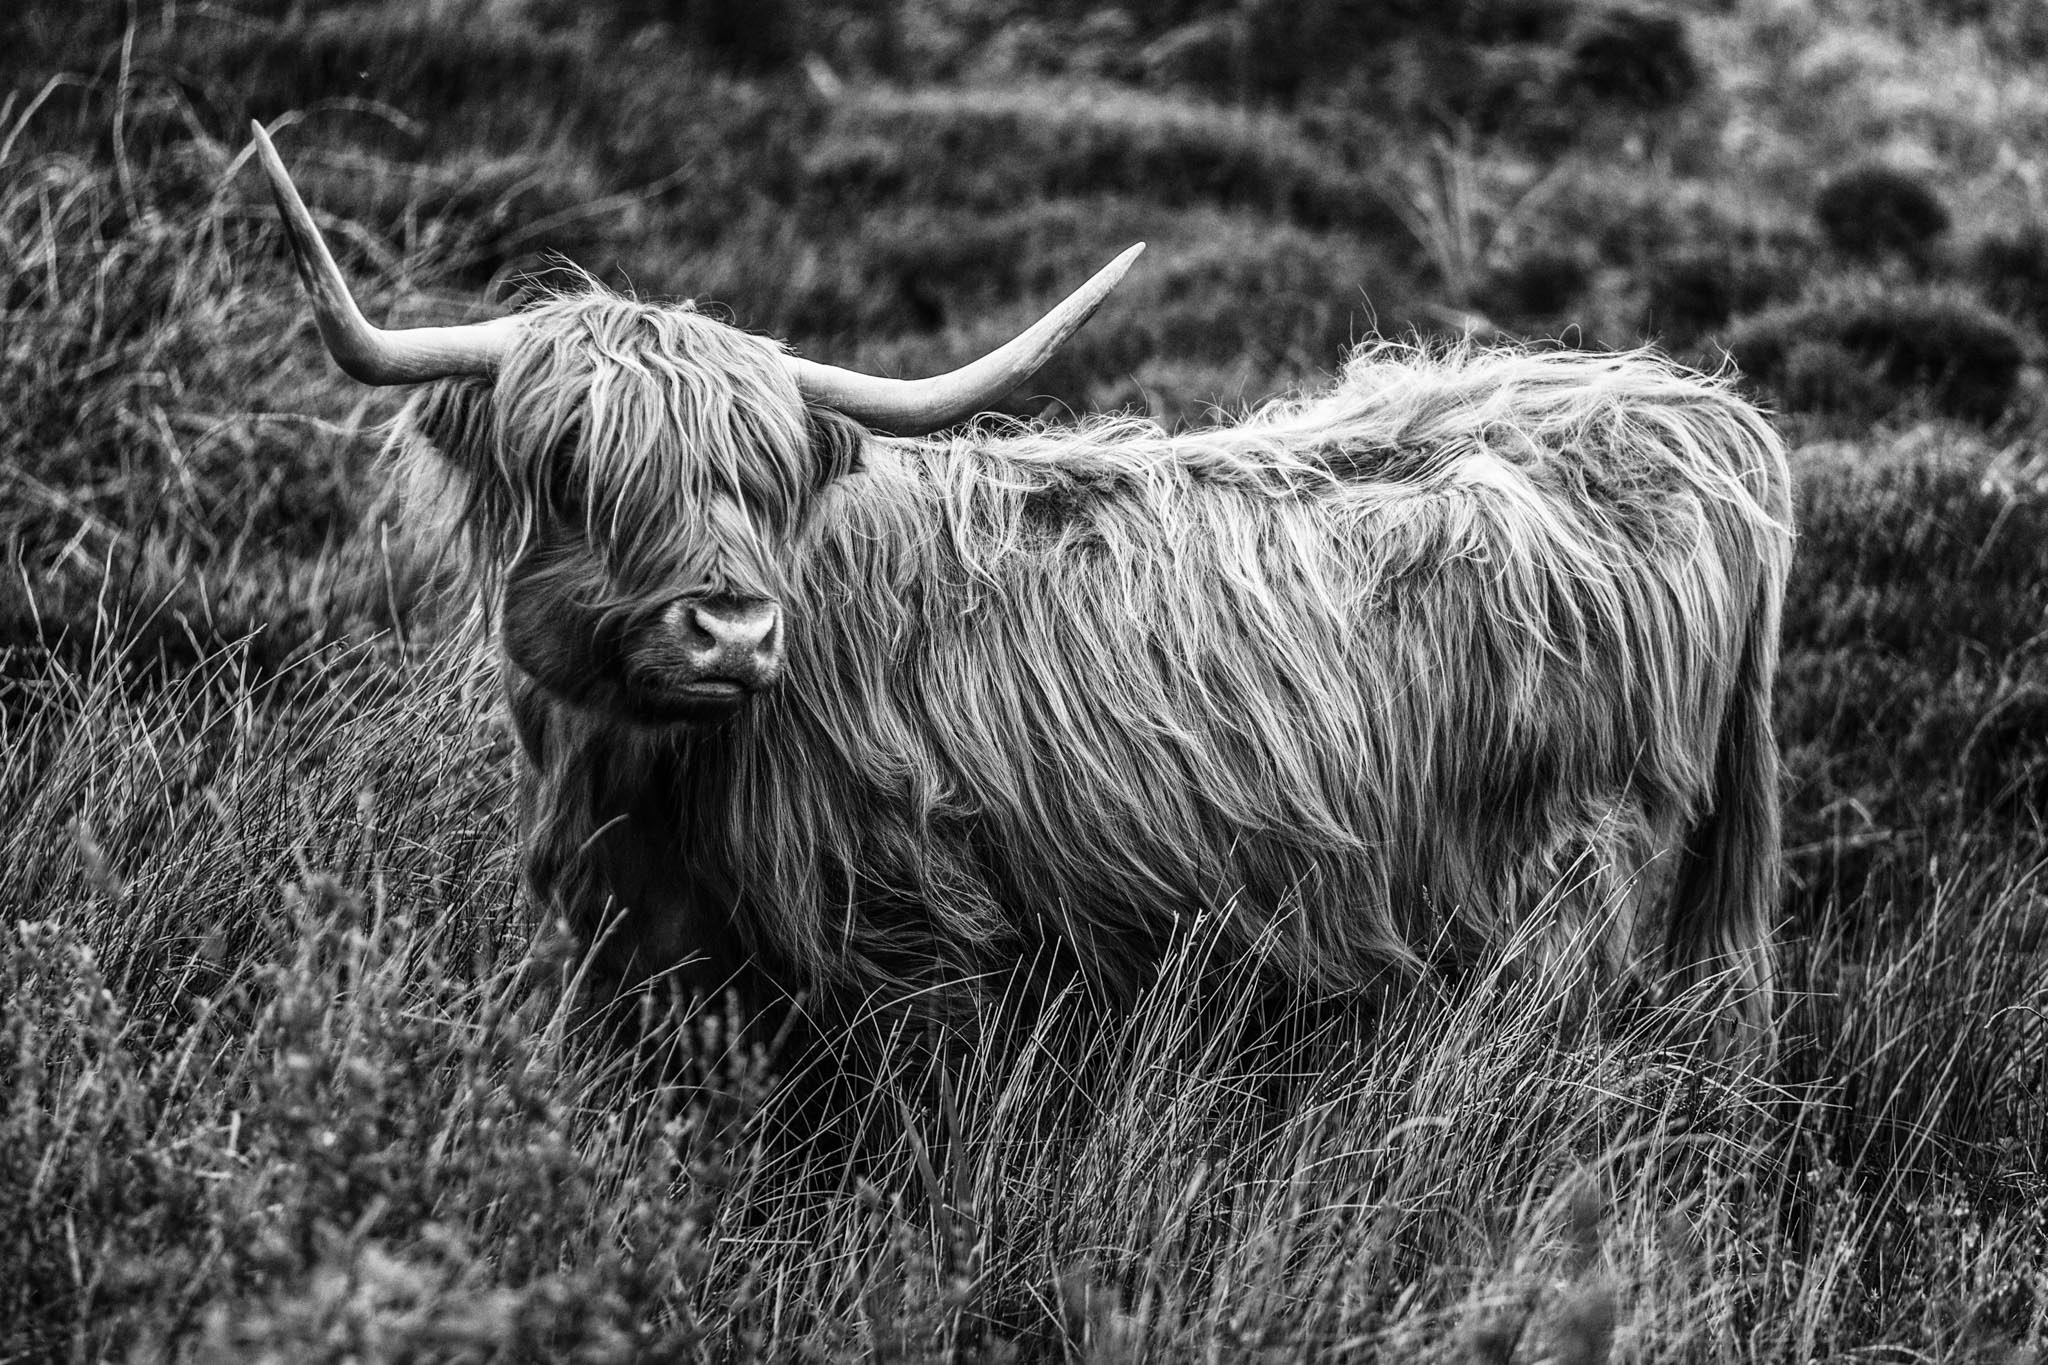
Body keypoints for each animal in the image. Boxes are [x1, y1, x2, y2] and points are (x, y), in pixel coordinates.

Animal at [250, 125, 1792, 1053]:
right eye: (572, 463)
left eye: (765, 477)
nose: (733, 628)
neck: (645, 796)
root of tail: (1689, 409)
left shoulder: (909, 972)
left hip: (1567, 903)